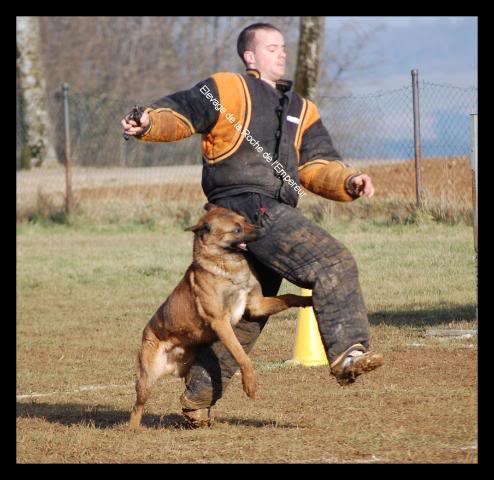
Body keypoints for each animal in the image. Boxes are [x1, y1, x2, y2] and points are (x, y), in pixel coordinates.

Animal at [128, 202, 312, 428]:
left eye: (244, 220)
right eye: (237, 229)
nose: (262, 230)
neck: (227, 266)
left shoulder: (256, 306)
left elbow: (289, 297)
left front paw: (308, 300)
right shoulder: (221, 323)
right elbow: (242, 356)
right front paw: (250, 385)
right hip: (148, 377)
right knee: (137, 405)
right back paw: (133, 429)